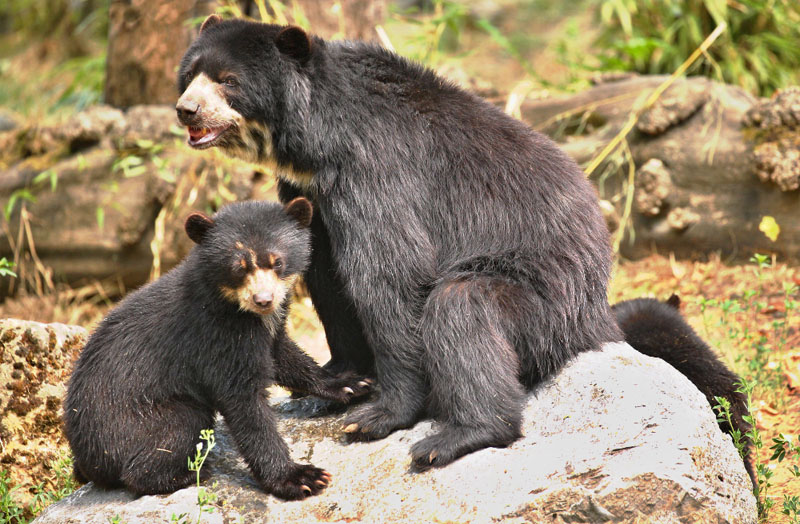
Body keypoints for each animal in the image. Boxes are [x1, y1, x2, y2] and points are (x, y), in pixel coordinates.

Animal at [64, 200, 370, 500]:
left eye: (278, 262)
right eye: (239, 268)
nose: (264, 300)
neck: (241, 312)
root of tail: (84, 458)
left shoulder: (264, 332)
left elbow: (285, 356)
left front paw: (352, 384)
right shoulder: (215, 336)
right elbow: (244, 402)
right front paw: (301, 478)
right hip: (141, 419)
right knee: (171, 436)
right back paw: (187, 474)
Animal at [177, 16, 624, 468]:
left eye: (229, 81)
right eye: (191, 74)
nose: (186, 110)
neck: (315, 144)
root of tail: (599, 313)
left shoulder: (376, 169)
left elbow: (389, 273)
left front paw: (378, 415)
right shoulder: (309, 192)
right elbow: (326, 276)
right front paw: (342, 380)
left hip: (544, 299)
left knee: (462, 308)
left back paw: (459, 435)